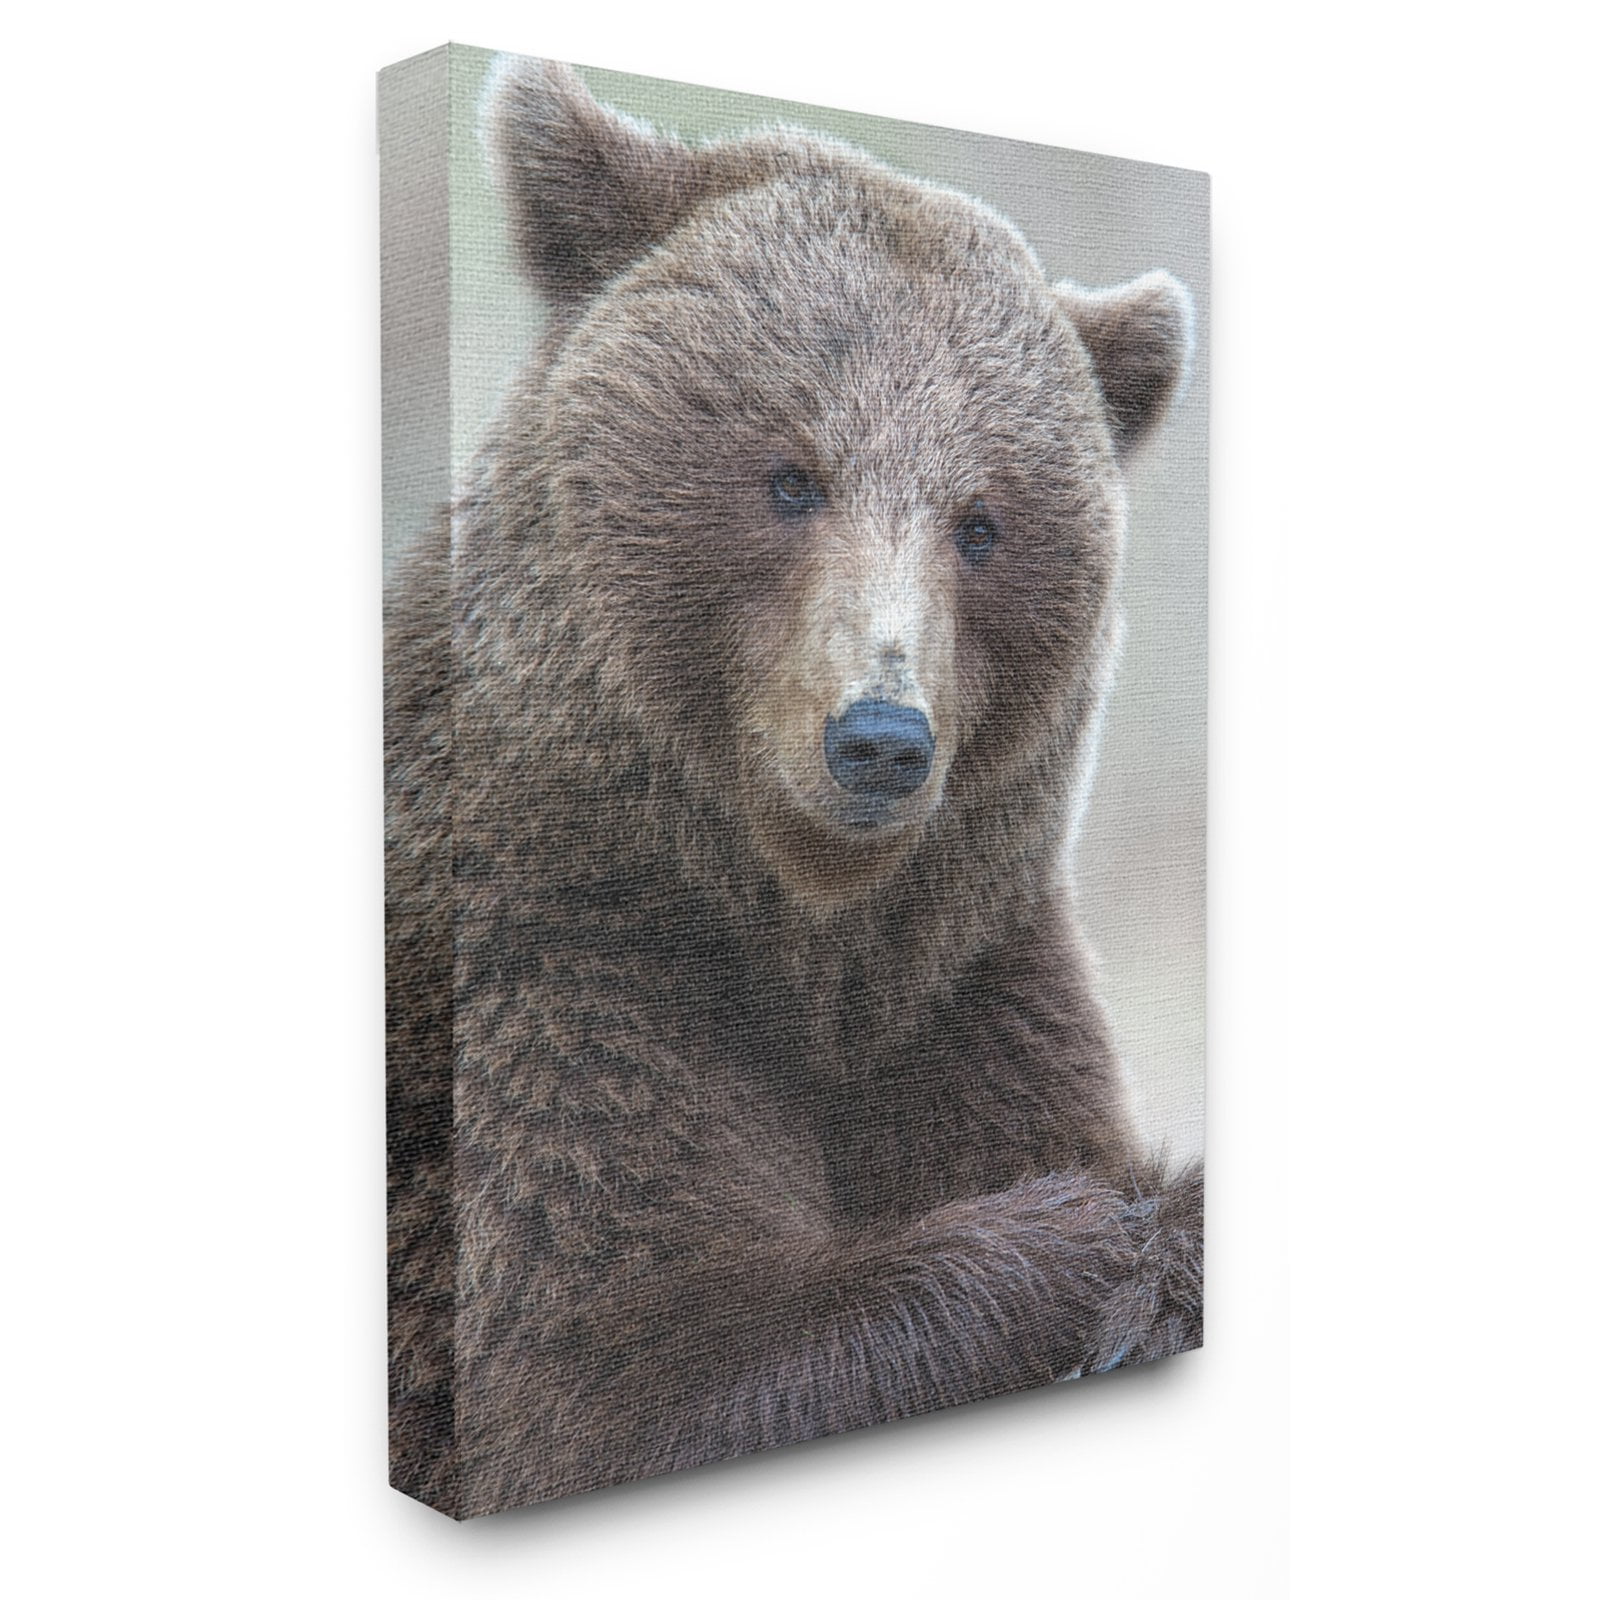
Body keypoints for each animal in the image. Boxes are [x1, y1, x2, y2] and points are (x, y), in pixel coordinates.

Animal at [385, 57, 1203, 1518]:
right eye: (787, 474)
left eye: (982, 522)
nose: (880, 737)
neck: (800, 929)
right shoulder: (559, 974)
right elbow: (618, 1371)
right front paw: (1099, 1247)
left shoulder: (962, 991)